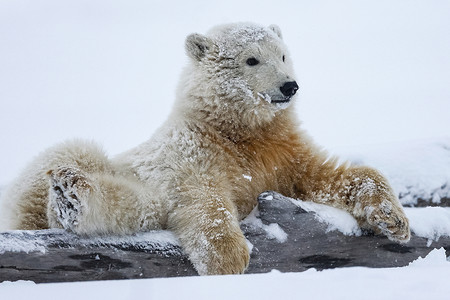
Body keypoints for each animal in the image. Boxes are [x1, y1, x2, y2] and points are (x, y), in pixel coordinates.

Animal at [0, 22, 410, 274]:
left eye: (282, 55)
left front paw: (394, 219)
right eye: (251, 58)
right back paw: (68, 193)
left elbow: (327, 176)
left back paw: (72, 198)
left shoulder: (284, 153)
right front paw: (228, 258)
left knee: (141, 206)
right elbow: (201, 194)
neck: (237, 132)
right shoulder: (191, 151)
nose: (289, 86)